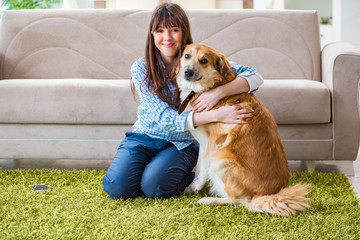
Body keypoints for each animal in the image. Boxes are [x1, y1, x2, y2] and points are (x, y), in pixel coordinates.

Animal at [177, 44, 310, 217]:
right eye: (187, 56)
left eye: (204, 60)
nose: (188, 72)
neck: (212, 86)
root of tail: (264, 195)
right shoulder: (203, 143)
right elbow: (199, 165)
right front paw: (192, 185)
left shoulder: (214, 142)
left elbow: (205, 165)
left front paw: (198, 186)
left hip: (223, 159)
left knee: (237, 201)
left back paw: (208, 200)